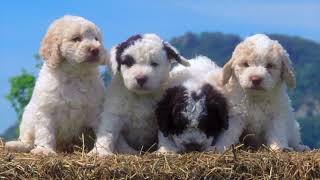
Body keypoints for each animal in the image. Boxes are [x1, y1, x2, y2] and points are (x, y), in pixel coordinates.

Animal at [4, 15, 106, 155]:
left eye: (96, 39)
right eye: (76, 38)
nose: (96, 49)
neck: (74, 74)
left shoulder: (96, 109)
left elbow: (102, 131)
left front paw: (101, 150)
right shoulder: (46, 109)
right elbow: (45, 132)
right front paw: (44, 150)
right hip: (28, 118)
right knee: (27, 139)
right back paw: (17, 145)